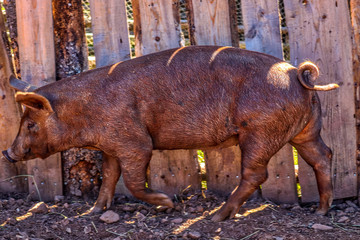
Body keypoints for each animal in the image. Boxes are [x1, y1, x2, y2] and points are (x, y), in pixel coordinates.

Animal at [2, 45, 338, 221]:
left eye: (30, 124)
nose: (7, 152)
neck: (86, 112)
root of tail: (297, 75)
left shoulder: (135, 143)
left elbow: (133, 181)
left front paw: (168, 204)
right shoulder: (111, 147)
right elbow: (109, 176)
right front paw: (94, 211)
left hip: (260, 132)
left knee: (256, 174)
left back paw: (216, 217)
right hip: (306, 129)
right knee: (323, 155)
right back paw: (321, 212)